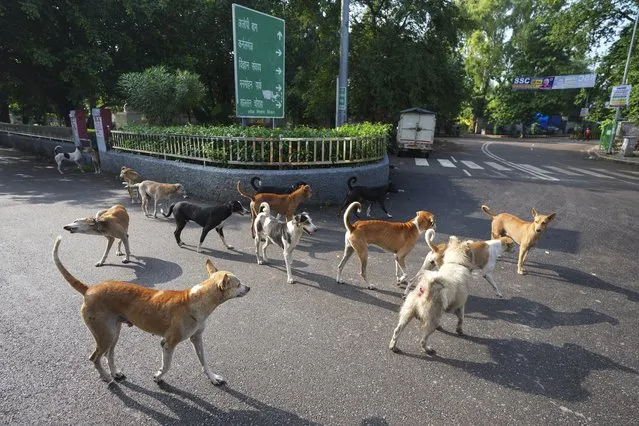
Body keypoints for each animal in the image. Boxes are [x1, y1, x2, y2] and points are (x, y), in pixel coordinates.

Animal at [52, 236, 250, 386]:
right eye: (238, 283)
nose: (249, 288)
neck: (196, 300)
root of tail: (89, 288)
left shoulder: (197, 339)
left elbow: (204, 362)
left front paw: (213, 378)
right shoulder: (168, 343)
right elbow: (167, 365)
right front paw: (159, 376)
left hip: (113, 332)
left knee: (109, 354)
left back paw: (115, 373)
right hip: (105, 335)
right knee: (94, 358)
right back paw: (107, 377)